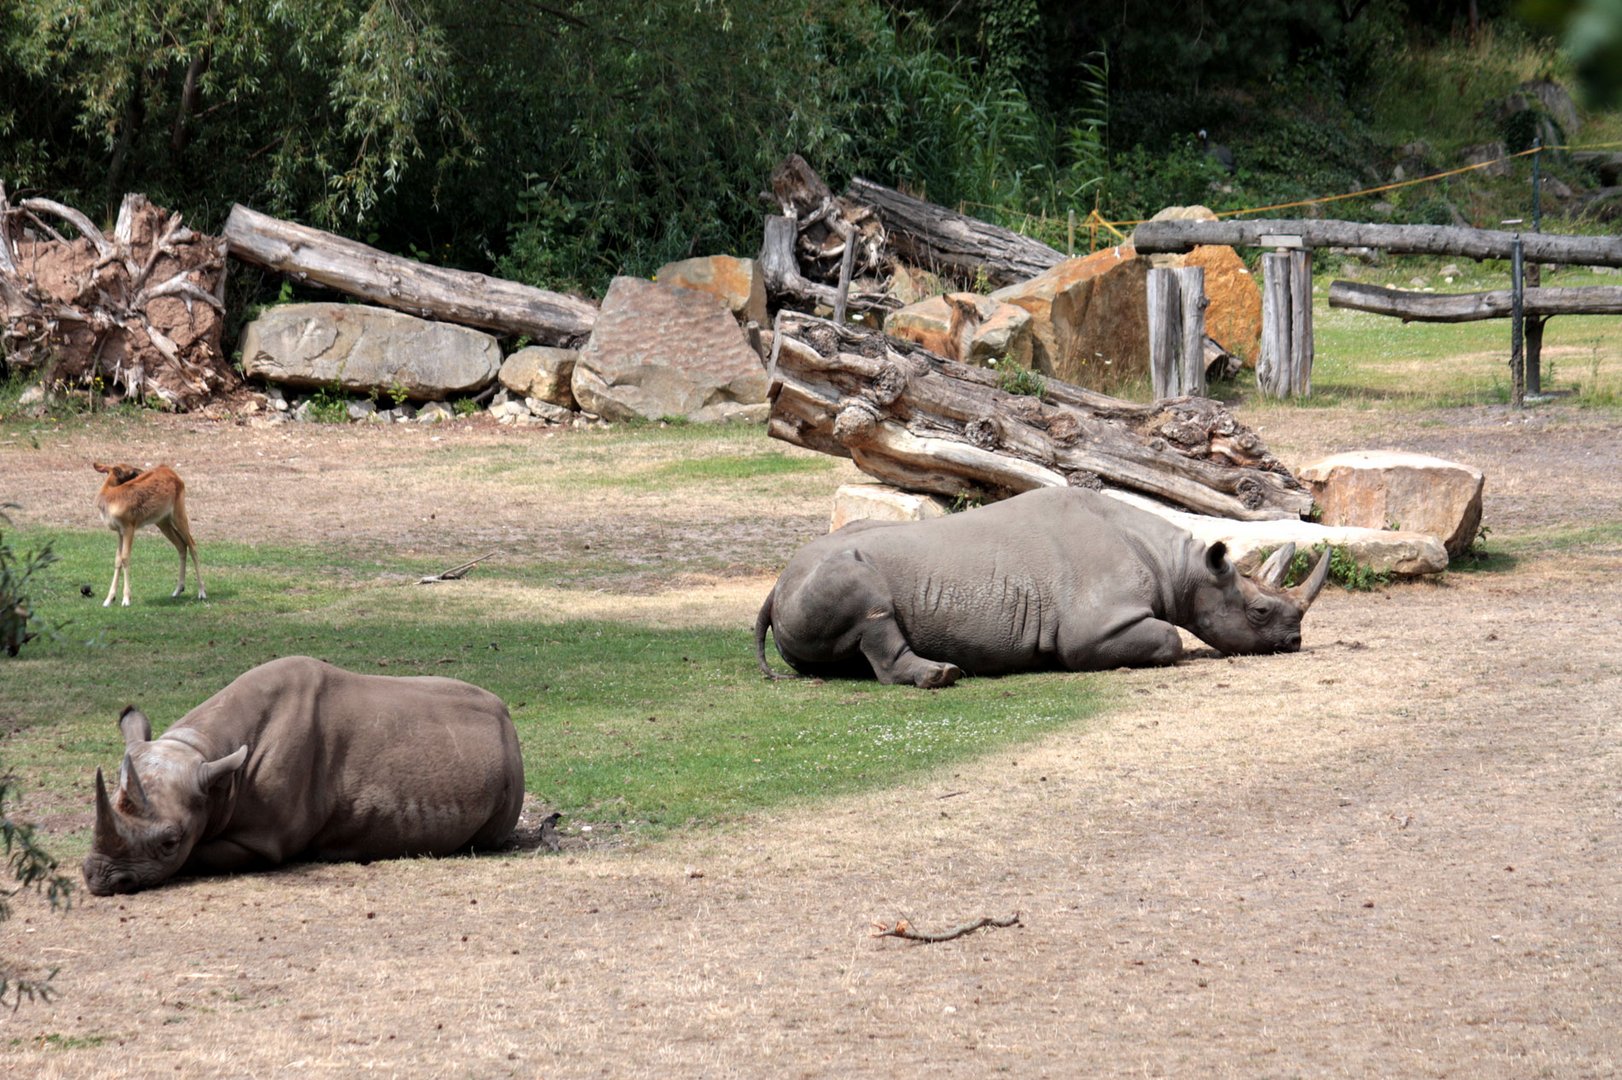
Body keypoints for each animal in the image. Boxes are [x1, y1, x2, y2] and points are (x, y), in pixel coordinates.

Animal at [92, 457, 204, 600]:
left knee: (192, 544)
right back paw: (178, 590)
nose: (142, 471)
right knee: (181, 545)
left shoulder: (129, 526)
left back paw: (202, 592)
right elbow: (118, 559)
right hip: (162, 520)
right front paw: (109, 599)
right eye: (131, 471)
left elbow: (125, 558)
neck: (109, 497)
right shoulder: (119, 531)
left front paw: (126, 599)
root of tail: (171, 471)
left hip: (178, 512)